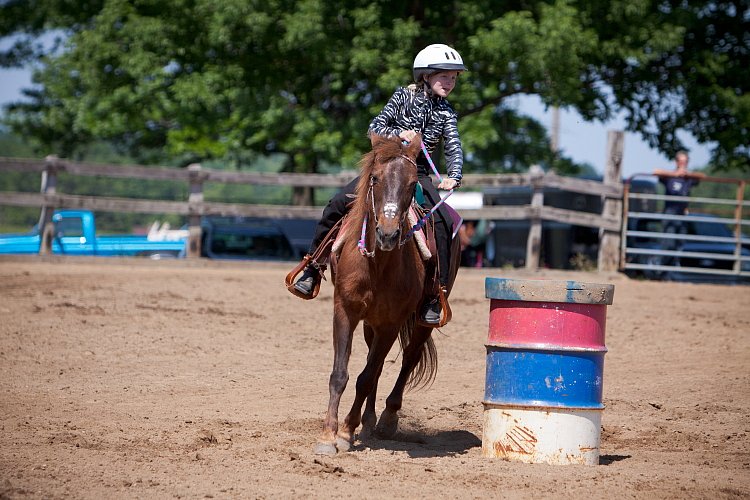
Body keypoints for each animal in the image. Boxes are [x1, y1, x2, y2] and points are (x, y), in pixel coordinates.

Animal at [312, 135, 464, 456]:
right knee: (377, 361)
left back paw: (386, 419)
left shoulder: (392, 323)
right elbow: (341, 375)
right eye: (375, 178)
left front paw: (346, 432)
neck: (377, 264)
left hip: (418, 320)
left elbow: (365, 378)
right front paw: (329, 435)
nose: (388, 233)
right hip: (372, 323)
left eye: (412, 183)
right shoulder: (345, 311)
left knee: (408, 358)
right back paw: (368, 421)